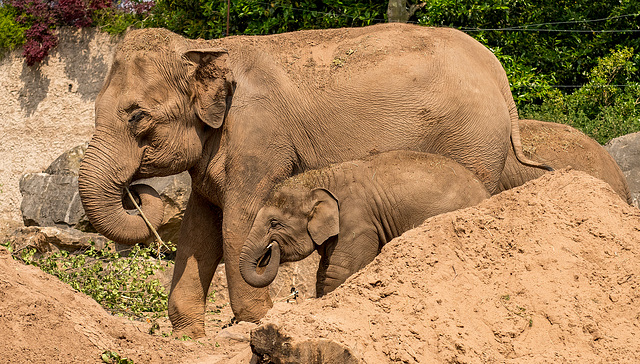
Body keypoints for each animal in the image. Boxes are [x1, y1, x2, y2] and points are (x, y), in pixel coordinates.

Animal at [238, 151, 488, 296]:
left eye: (274, 223)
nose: (271, 247)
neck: (321, 178)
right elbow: (323, 273)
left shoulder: (357, 223)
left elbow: (340, 272)